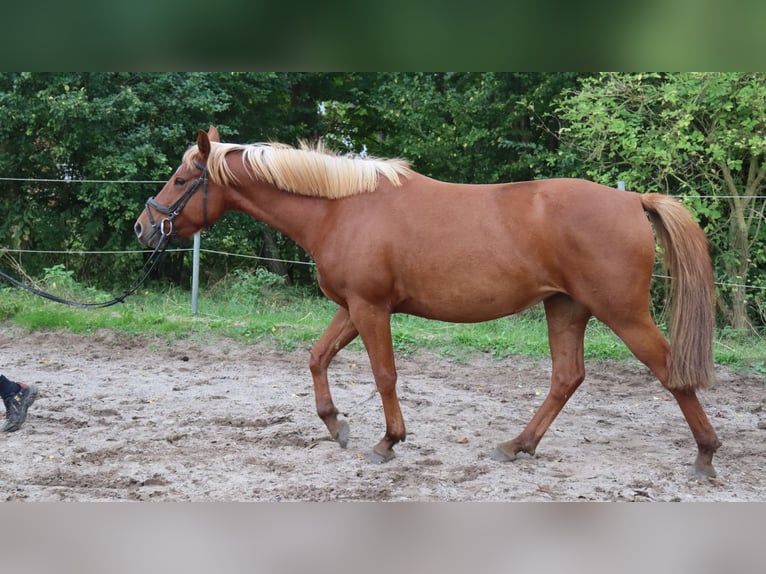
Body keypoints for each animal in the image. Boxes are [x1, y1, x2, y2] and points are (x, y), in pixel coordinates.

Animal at [135, 128, 724, 480]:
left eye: (182, 179)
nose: (143, 227)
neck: (341, 209)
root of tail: (633, 200)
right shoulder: (350, 307)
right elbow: (317, 357)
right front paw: (335, 425)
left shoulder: (371, 309)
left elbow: (384, 374)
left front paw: (387, 441)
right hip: (565, 308)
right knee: (566, 377)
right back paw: (517, 445)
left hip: (622, 314)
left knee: (670, 371)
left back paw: (705, 454)